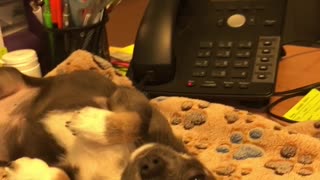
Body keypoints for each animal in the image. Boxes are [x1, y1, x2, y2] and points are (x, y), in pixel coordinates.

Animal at [0, 67, 215, 180]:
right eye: (197, 179)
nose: (151, 165)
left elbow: (60, 175)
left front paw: (27, 170)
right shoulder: (130, 97)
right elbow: (139, 121)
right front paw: (91, 123)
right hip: (8, 76)